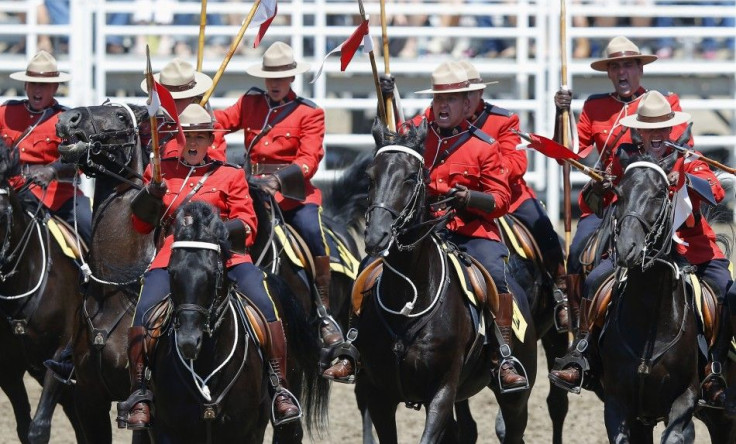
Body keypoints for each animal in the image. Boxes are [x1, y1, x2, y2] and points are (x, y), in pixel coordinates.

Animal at [356, 119, 536, 442]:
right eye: (370, 176)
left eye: (410, 177)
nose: (377, 235)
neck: (410, 296)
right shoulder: (379, 396)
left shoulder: (442, 391)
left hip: (516, 398)